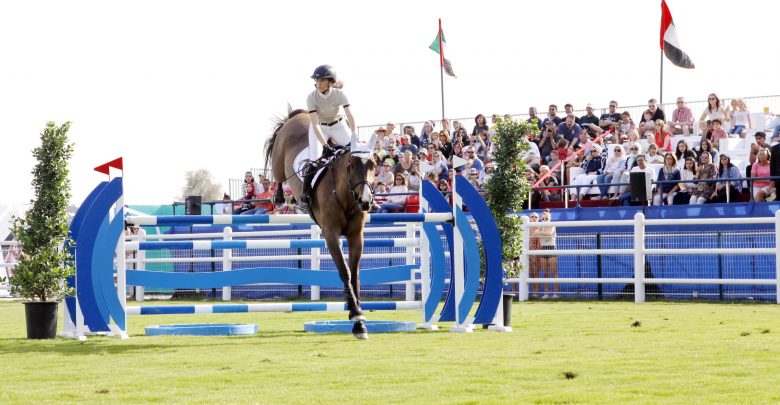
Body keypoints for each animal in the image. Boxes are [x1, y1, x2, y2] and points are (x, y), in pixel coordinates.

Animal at [266, 108, 378, 338]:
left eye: (374, 164)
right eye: (351, 165)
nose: (365, 201)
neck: (346, 195)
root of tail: (297, 115)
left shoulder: (356, 236)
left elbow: (354, 273)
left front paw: (359, 319)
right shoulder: (331, 233)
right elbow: (344, 271)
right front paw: (355, 315)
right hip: (280, 158)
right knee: (278, 174)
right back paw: (280, 197)